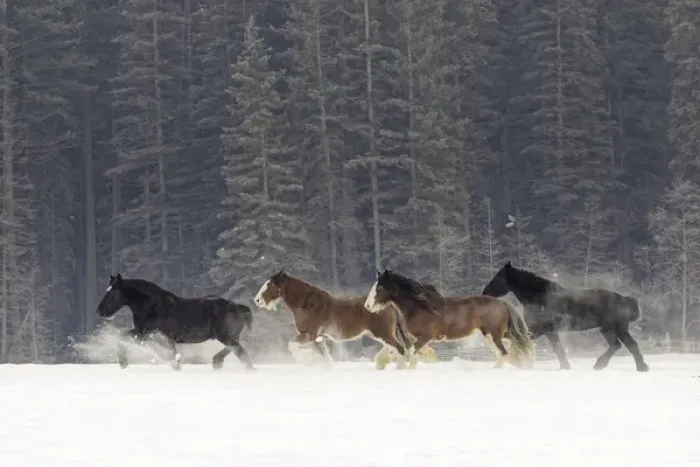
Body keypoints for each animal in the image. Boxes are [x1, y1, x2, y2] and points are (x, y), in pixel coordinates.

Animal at [96, 274, 254, 371]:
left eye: (111, 293)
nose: (99, 311)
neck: (152, 307)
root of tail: (236, 306)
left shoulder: (157, 335)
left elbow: (171, 354)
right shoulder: (142, 333)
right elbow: (123, 337)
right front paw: (123, 363)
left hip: (226, 337)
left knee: (240, 352)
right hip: (227, 337)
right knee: (236, 350)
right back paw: (218, 362)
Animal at [253, 270, 415, 369]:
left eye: (271, 284)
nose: (257, 300)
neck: (307, 304)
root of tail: (389, 305)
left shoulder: (309, 334)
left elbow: (292, 346)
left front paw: (305, 362)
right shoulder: (318, 337)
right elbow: (324, 355)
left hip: (383, 334)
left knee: (399, 349)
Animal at [364, 269, 534, 369]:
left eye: (379, 288)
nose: (367, 306)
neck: (420, 307)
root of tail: (502, 303)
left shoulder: (426, 337)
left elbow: (411, 353)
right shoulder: (417, 339)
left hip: (493, 335)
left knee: (504, 353)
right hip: (494, 334)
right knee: (511, 348)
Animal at [482, 261, 649, 372]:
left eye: (497, 278)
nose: (485, 293)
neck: (538, 297)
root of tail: (624, 299)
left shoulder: (539, 330)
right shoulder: (547, 331)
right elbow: (557, 348)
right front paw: (564, 367)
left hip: (618, 328)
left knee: (631, 344)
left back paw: (642, 367)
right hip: (606, 329)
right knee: (616, 345)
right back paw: (599, 365)